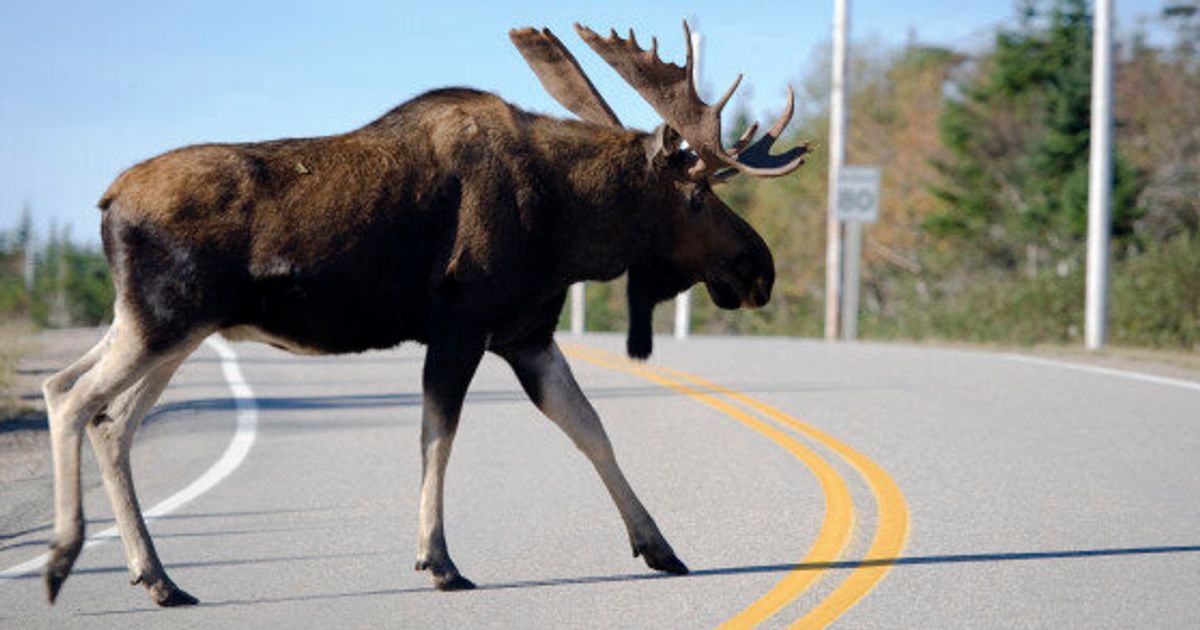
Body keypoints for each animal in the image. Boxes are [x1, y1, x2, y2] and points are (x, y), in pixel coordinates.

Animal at [42, 23, 806, 604]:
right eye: (698, 197)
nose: (759, 269)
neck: (570, 222)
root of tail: (107, 201)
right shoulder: (461, 325)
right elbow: (438, 436)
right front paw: (438, 560)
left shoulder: (527, 334)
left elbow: (591, 429)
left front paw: (658, 544)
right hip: (166, 320)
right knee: (73, 399)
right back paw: (65, 558)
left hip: (160, 326)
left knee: (98, 411)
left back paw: (158, 577)